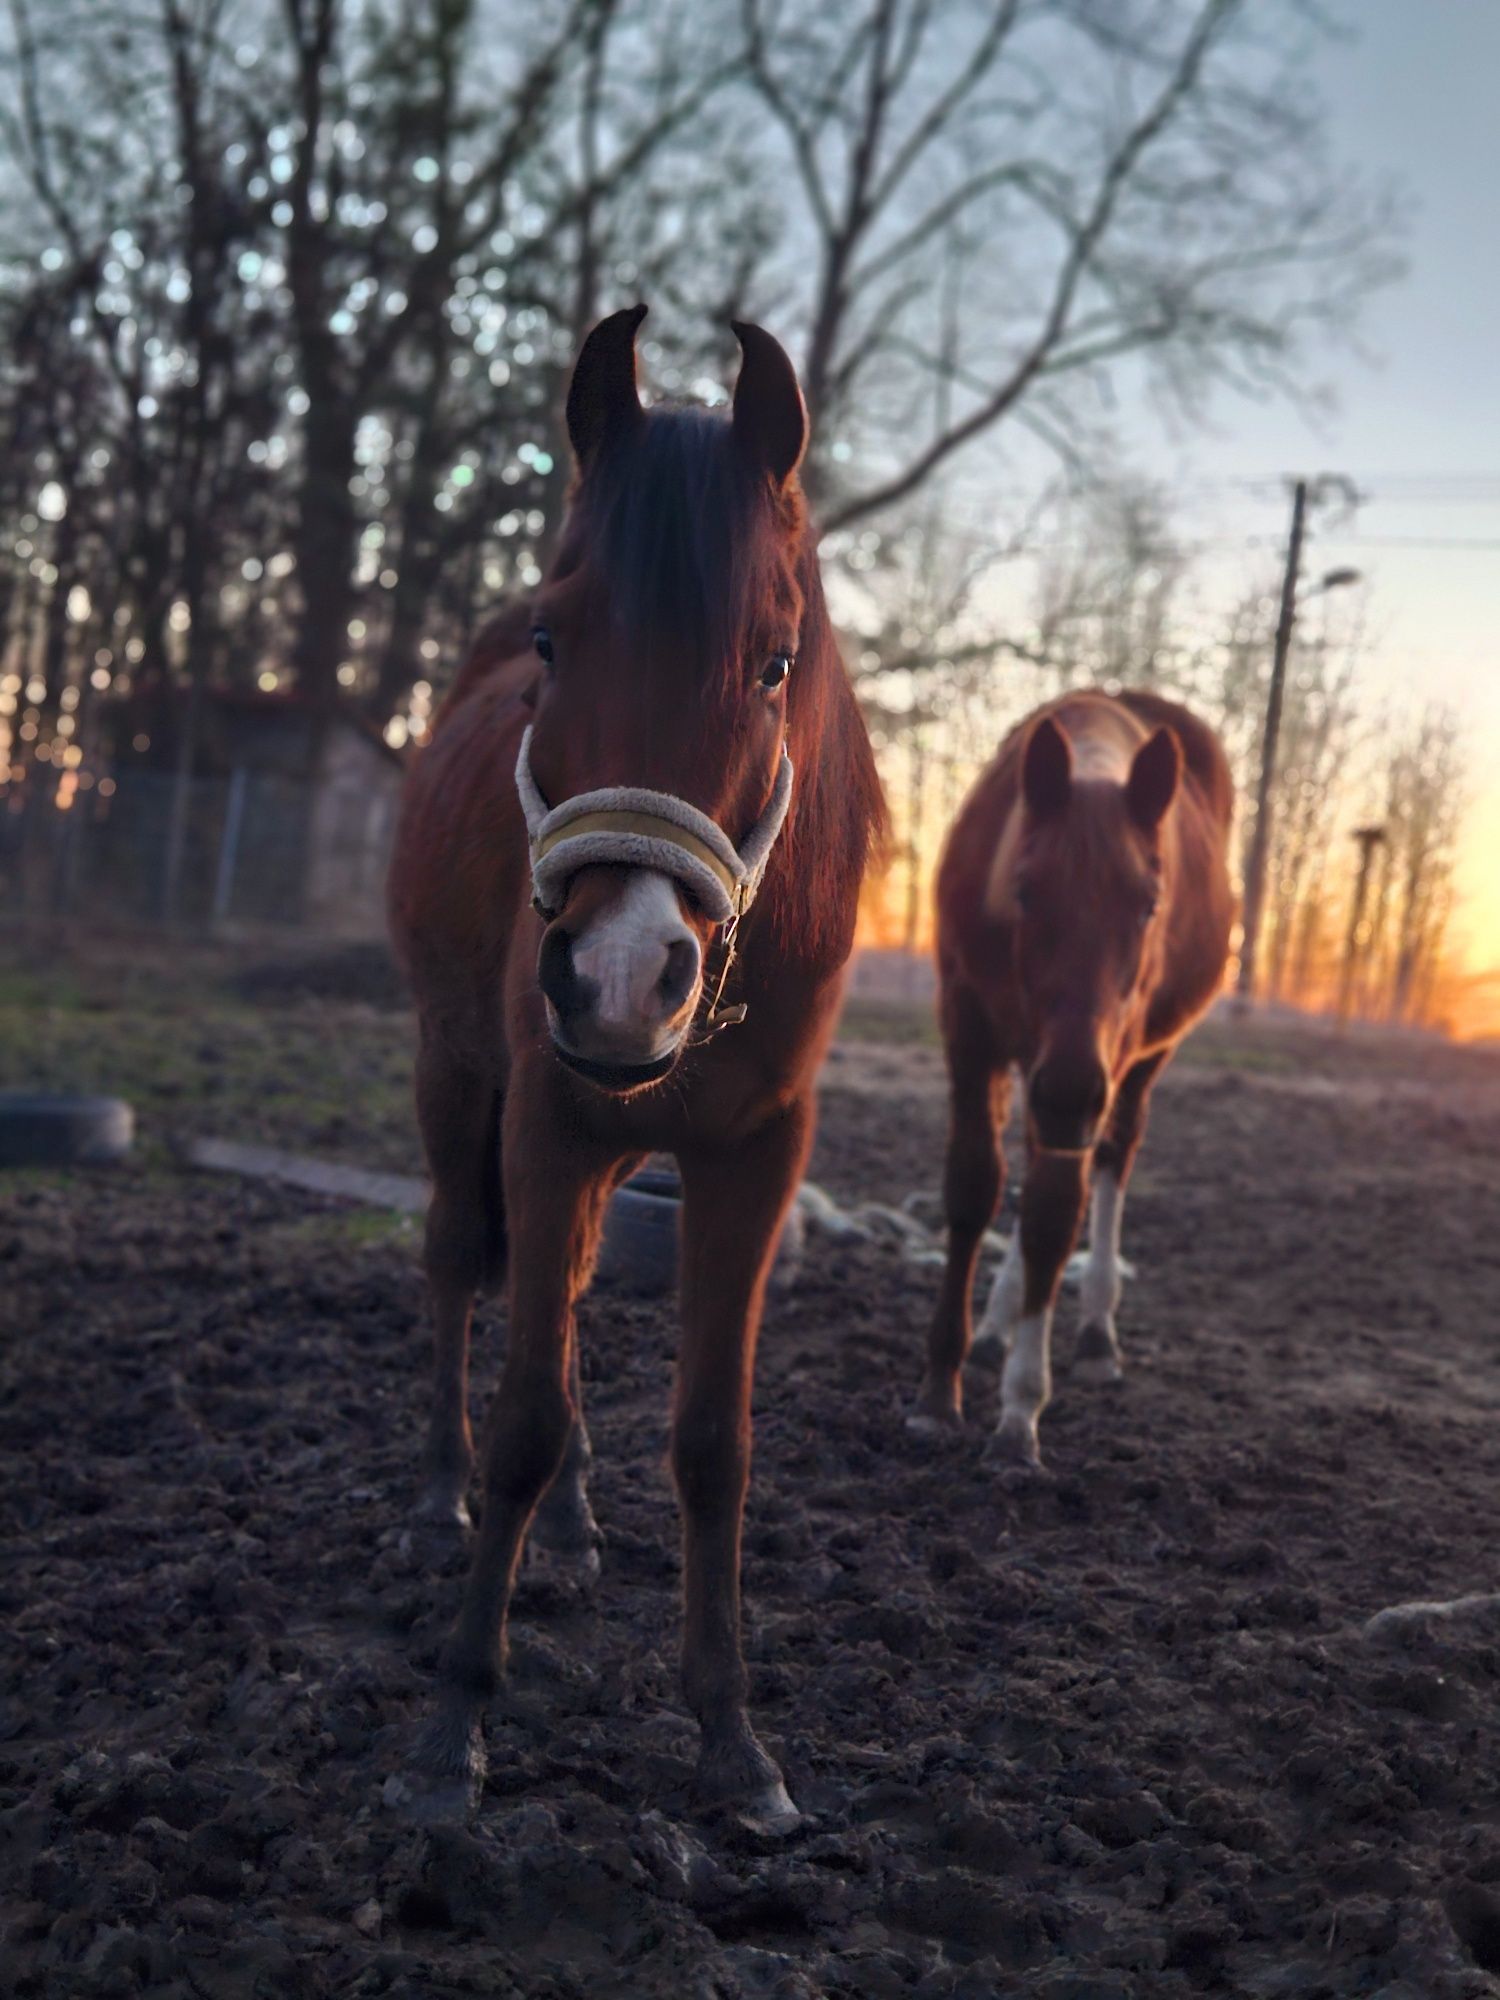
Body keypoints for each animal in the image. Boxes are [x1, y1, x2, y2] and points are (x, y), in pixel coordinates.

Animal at [384, 304, 892, 1824]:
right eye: (556, 639)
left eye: (775, 661)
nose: (617, 976)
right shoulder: (549, 1114)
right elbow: (525, 1416)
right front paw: (455, 1724)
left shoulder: (755, 1156)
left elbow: (712, 1440)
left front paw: (733, 1736)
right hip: (456, 1072)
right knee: (459, 1260)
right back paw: (440, 1498)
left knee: (562, 1293)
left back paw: (569, 1534)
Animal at [916, 692, 1232, 1472]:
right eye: (1026, 890)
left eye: (1149, 905)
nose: (1065, 1092)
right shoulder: (968, 1026)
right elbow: (973, 1189)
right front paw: (940, 1388)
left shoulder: (1098, 1066)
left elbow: (1056, 1214)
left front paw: (1020, 1412)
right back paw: (994, 1329)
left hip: (1135, 1068)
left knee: (1112, 1163)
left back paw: (1093, 1333)